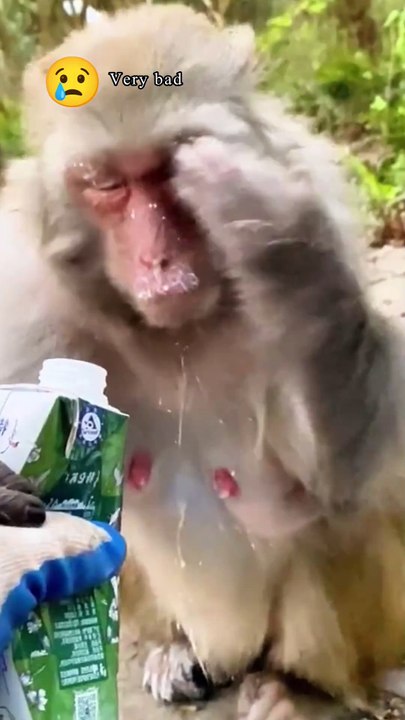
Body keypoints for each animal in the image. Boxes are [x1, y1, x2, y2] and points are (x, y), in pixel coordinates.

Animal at [1, 4, 405, 719]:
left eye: (169, 168)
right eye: (106, 184)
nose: (160, 261)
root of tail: (232, 651)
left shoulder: (323, 203)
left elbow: (353, 473)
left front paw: (279, 244)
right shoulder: (23, 296)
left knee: (349, 508)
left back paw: (300, 689)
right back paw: (173, 649)